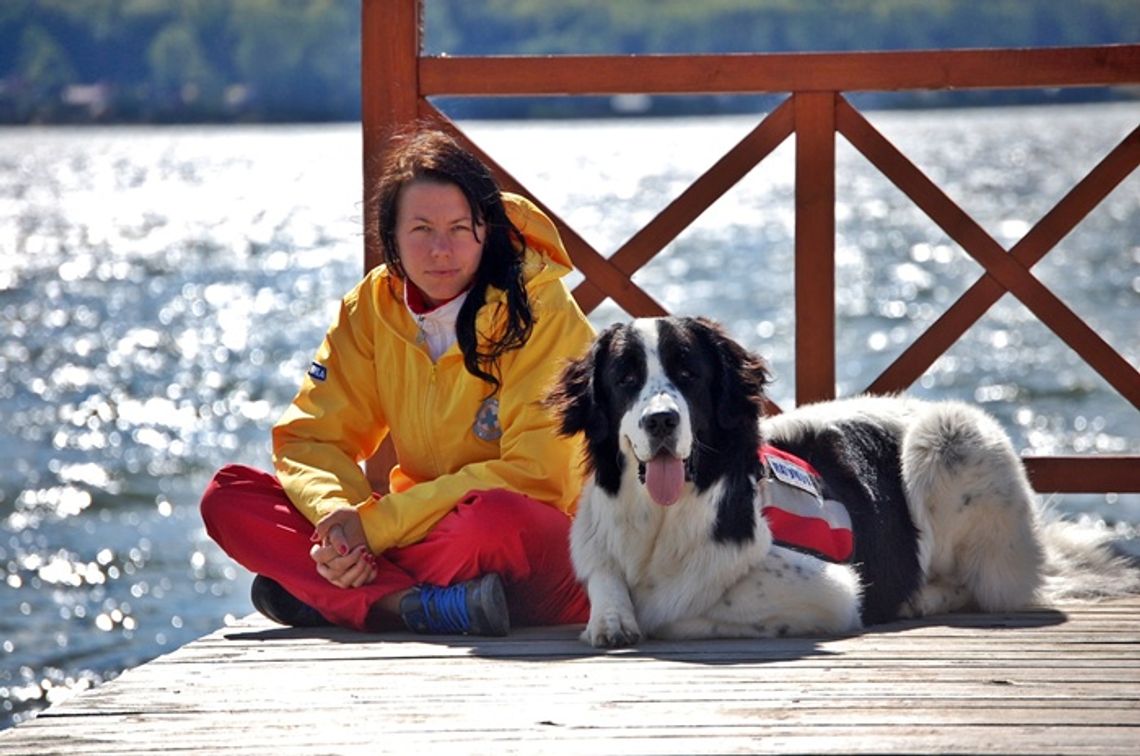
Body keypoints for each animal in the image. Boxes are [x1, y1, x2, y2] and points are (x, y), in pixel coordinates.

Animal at [544, 316, 1140, 647]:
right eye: (627, 378)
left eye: (688, 373)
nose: (661, 421)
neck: (660, 518)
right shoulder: (598, 548)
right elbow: (607, 581)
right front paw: (612, 618)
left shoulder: (829, 591)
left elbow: (685, 608)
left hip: (951, 437)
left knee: (989, 585)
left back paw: (921, 598)